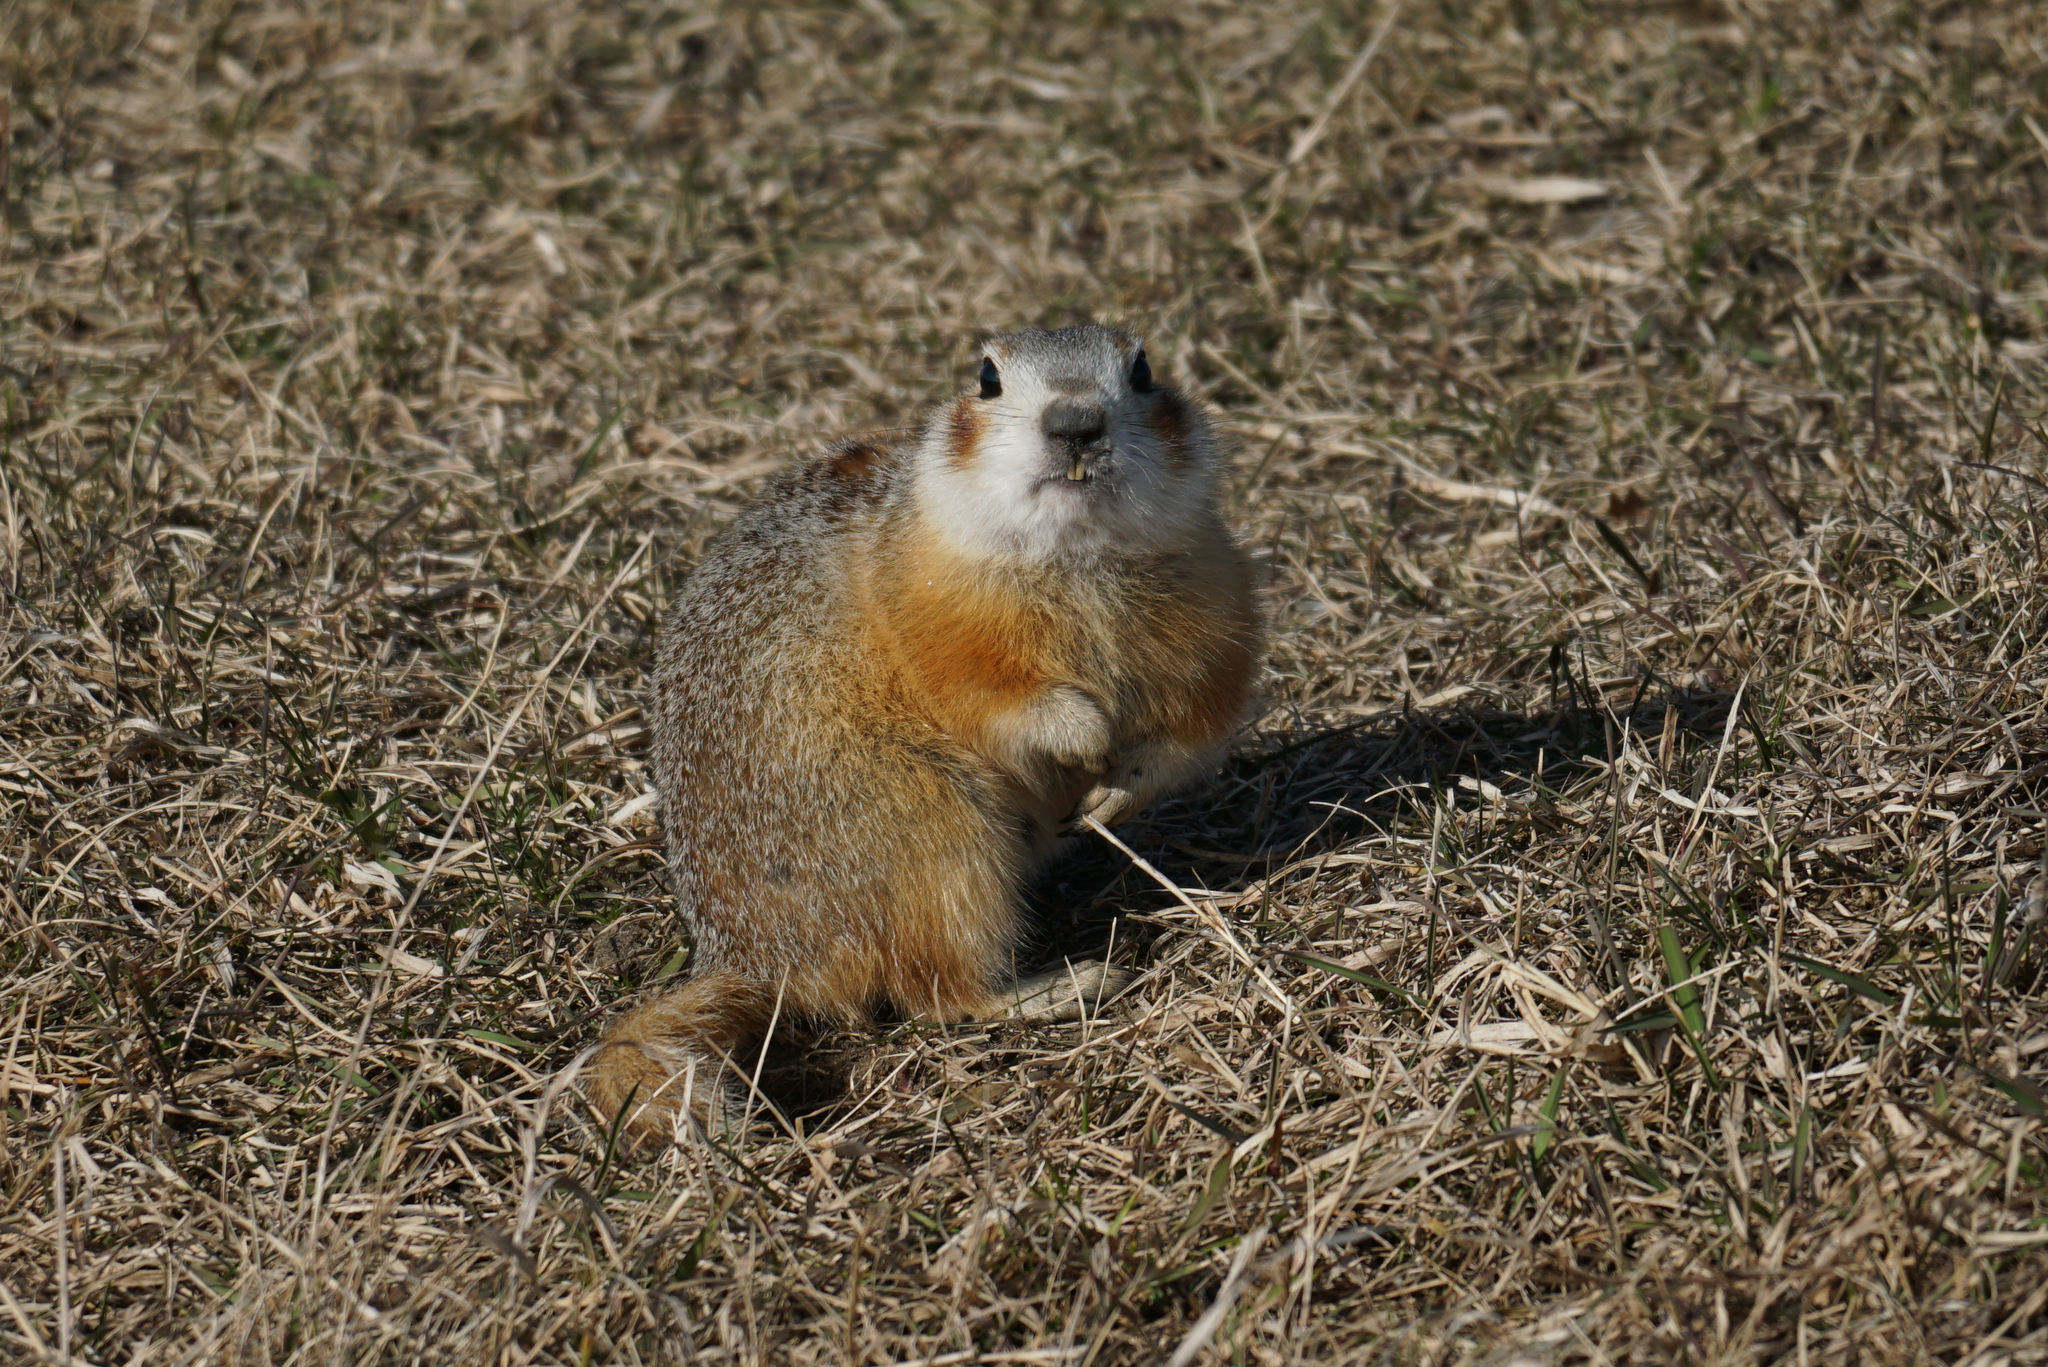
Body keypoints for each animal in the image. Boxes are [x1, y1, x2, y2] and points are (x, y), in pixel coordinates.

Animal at [588, 325, 1262, 1141]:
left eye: (1143, 370)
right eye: (987, 377)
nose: (1075, 422)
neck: (1078, 561)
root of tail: (749, 960)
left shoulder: (1217, 601)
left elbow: (1196, 721)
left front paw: (1117, 789)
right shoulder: (933, 613)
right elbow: (990, 695)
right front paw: (1082, 730)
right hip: (932, 834)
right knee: (936, 993)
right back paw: (1063, 985)